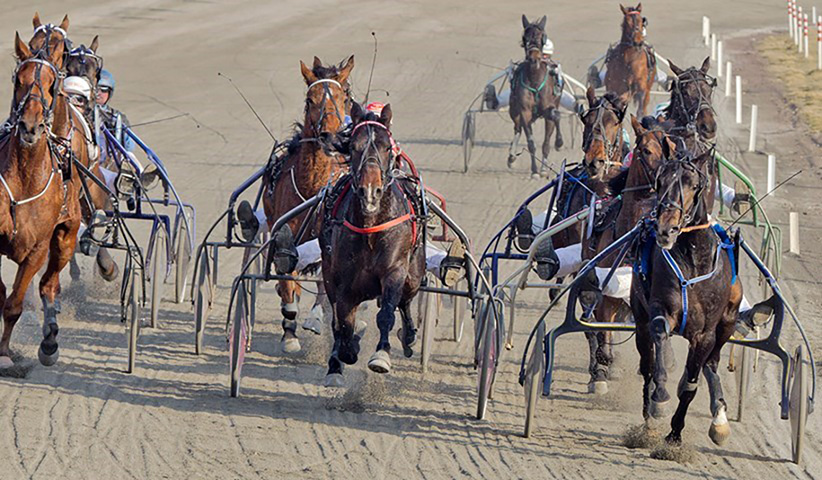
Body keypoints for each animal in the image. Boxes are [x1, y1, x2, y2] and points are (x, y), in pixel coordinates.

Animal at [0, 33, 87, 370]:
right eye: (18, 81)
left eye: (51, 84)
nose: (30, 126)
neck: (25, 176)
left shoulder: (37, 248)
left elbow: (14, 303)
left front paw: (4, 354)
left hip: (66, 235)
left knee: (49, 285)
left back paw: (49, 340)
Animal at [264, 55, 354, 352]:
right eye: (309, 99)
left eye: (344, 96)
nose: (329, 136)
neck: (313, 187)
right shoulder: (284, 238)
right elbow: (287, 279)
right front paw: (290, 332)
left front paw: (316, 318)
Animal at [320, 102, 424, 386]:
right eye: (354, 147)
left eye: (387, 147)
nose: (370, 192)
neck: (369, 227)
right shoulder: (341, 280)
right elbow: (342, 321)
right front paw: (344, 353)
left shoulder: (394, 271)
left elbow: (386, 313)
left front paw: (381, 356)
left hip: (414, 274)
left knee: (406, 302)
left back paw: (408, 337)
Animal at [508, 16, 568, 180]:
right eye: (525, 37)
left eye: (542, 37)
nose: (534, 58)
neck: (535, 79)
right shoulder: (525, 111)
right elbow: (531, 143)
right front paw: (535, 171)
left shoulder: (548, 109)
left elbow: (547, 140)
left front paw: (544, 168)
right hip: (513, 110)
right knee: (517, 128)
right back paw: (511, 156)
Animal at [632, 150, 748, 446]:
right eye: (660, 181)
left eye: (693, 185)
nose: (666, 229)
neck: (693, 261)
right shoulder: (660, 310)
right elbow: (660, 338)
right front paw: (659, 397)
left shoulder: (706, 333)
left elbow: (691, 385)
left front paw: (675, 433)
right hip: (639, 318)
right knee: (647, 364)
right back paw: (648, 415)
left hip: (727, 322)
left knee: (712, 363)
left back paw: (719, 419)